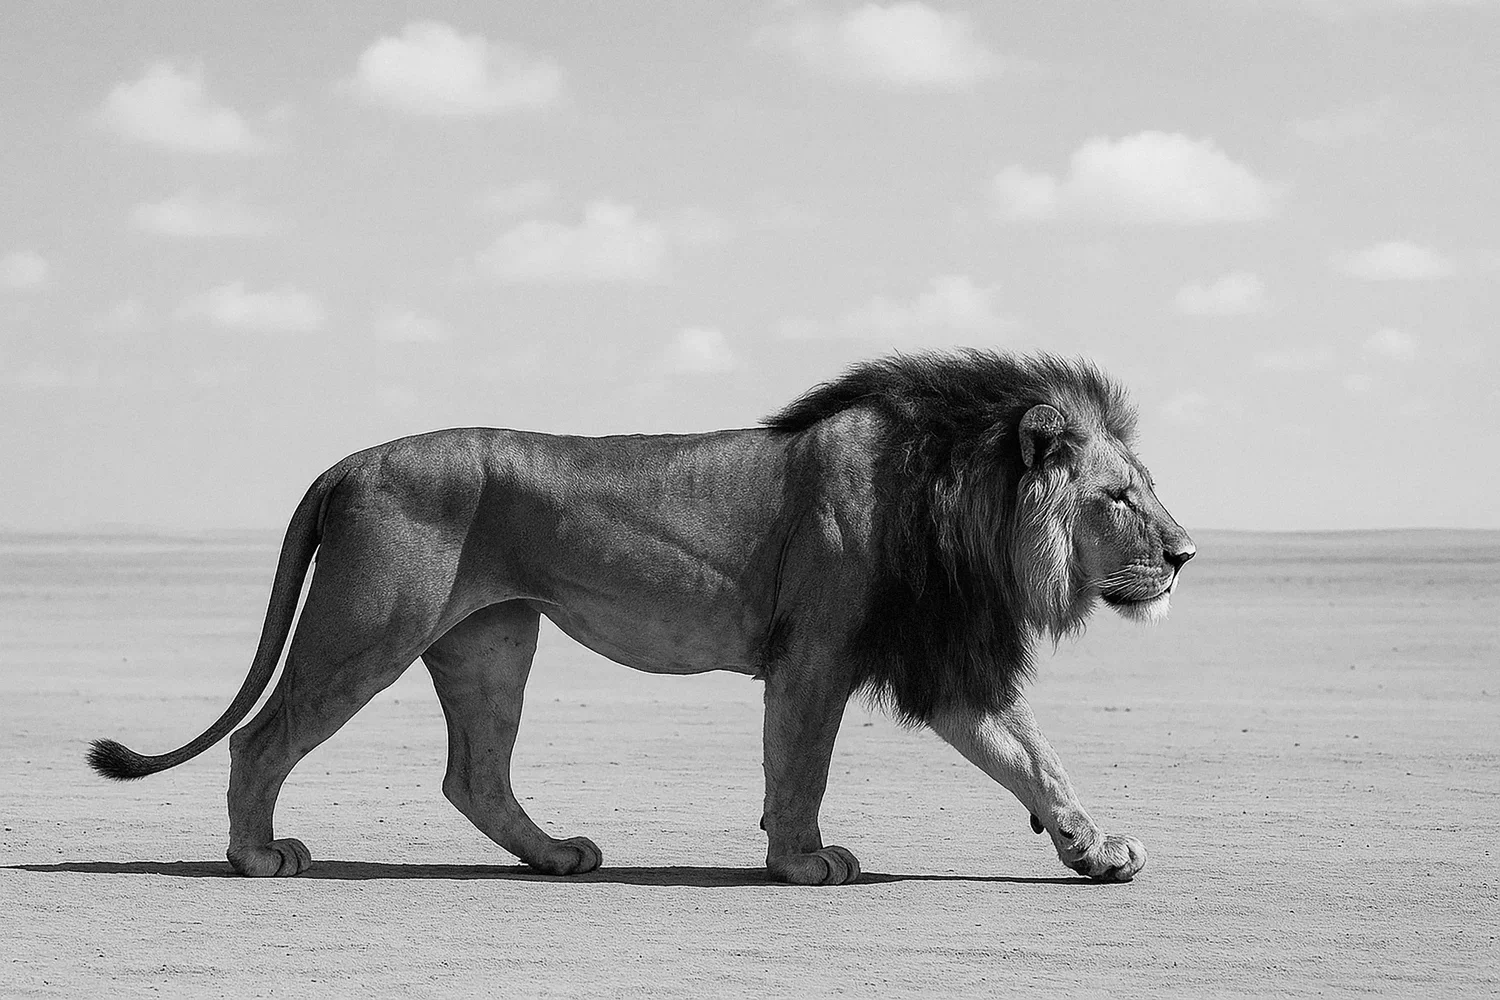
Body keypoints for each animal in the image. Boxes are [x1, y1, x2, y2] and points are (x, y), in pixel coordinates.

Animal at [89, 350, 1194, 884]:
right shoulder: (818, 650)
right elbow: (802, 763)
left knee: (472, 774)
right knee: (264, 739)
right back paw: (256, 855)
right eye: (1118, 497)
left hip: (494, 640)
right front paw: (801, 862)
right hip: (371, 628)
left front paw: (1097, 849)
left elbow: (1035, 757)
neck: (962, 499)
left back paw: (557, 857)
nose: (1186, 555)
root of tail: (349, 460)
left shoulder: (938, 658)